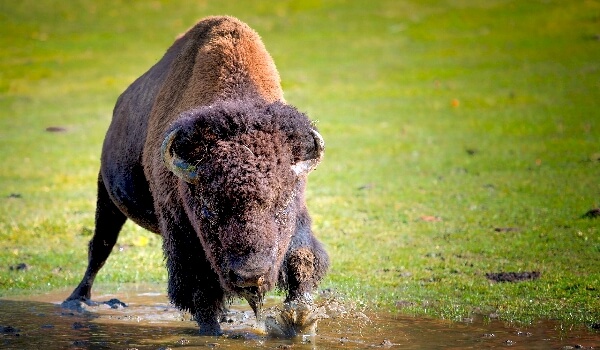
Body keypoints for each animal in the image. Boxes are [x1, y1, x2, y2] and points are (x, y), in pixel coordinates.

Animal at [64, 15, 328, 334]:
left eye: (280, 205)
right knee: (100, 247)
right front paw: (213, 331)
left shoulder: (298, 217)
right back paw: (76, 300)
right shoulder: (181, 233)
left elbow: (303, 259)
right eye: (209, 210)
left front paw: (300, 320)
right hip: (107, 196)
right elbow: (200, 291)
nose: (250, 275)